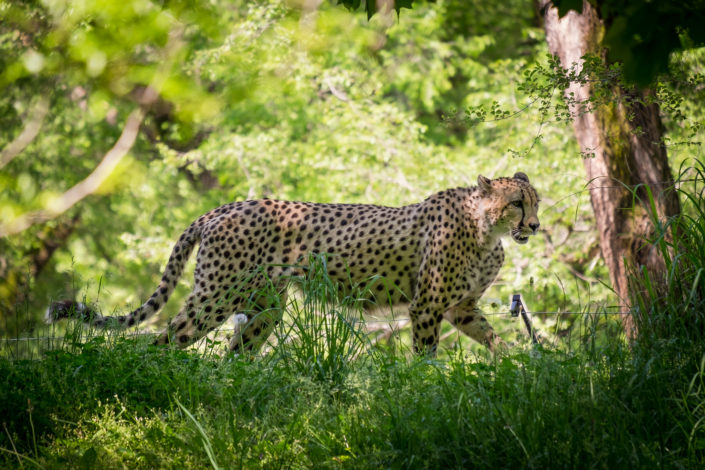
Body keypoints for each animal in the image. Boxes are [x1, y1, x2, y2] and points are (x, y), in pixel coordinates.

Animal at [48, 172, 540, 355]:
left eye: (535, 202)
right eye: (517, 203)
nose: (534, 226)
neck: (487, 230)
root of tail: (224, 207)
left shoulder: (460, 309)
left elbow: (496, 339)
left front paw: (520, 367)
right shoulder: (427, 307)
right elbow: (426, 356)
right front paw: (425, 391)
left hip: (265, 306)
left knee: (235, 354)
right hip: (215, 298)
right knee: (161, 340)